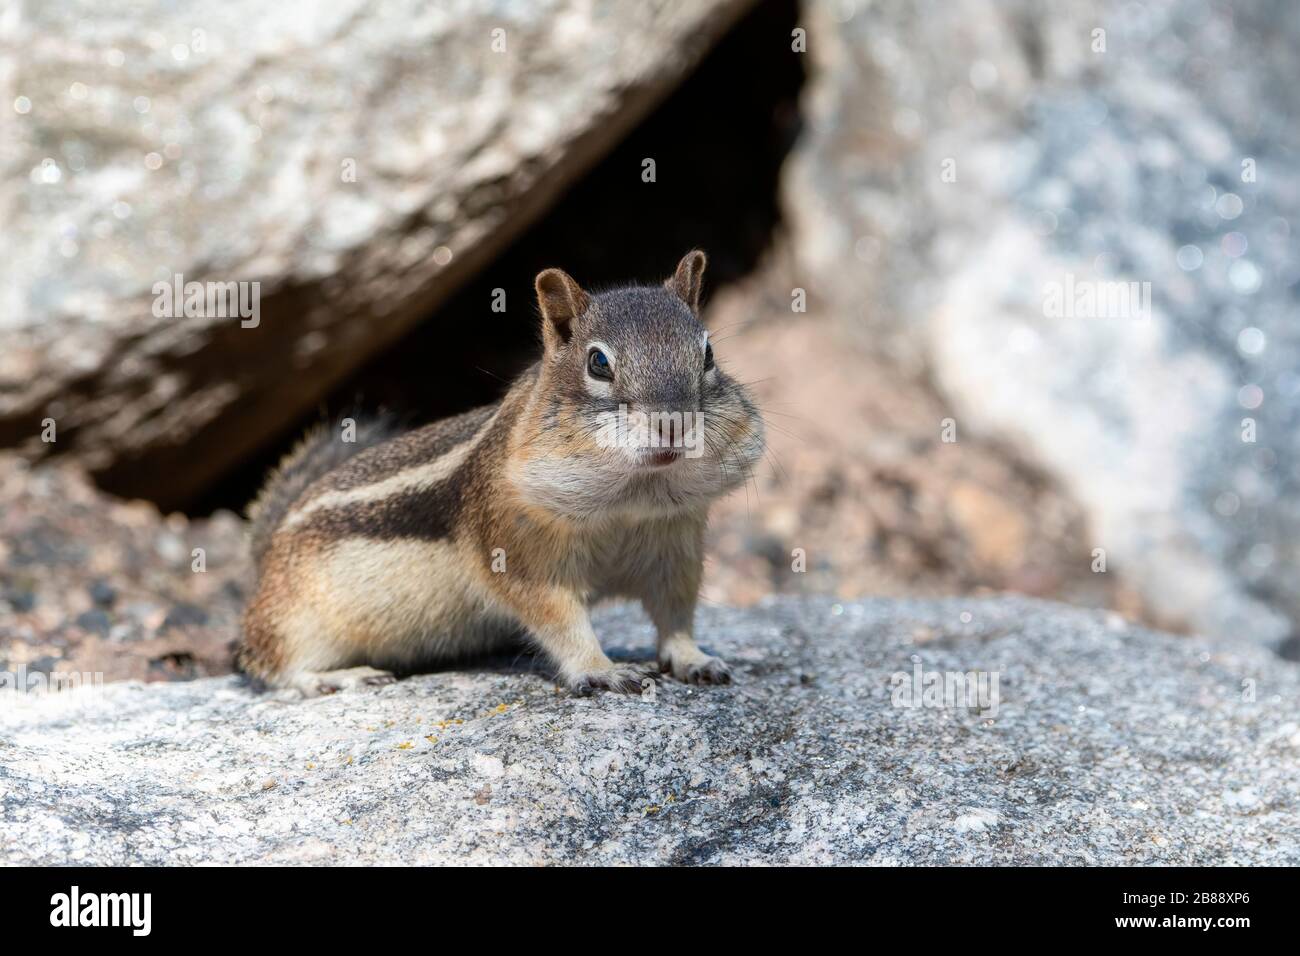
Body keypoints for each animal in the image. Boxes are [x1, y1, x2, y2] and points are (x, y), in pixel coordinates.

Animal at [237, 250, 765, 697]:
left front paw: (694, 658)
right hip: (295, 620)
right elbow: (559, 619)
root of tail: (264, 553)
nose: (674, 423)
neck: (628, 499)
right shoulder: (516, 550)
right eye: (598, 363)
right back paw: (338, 677)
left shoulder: (673, 545)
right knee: (273, 664)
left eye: (708, 354)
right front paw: (600, 669)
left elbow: (676, 611)